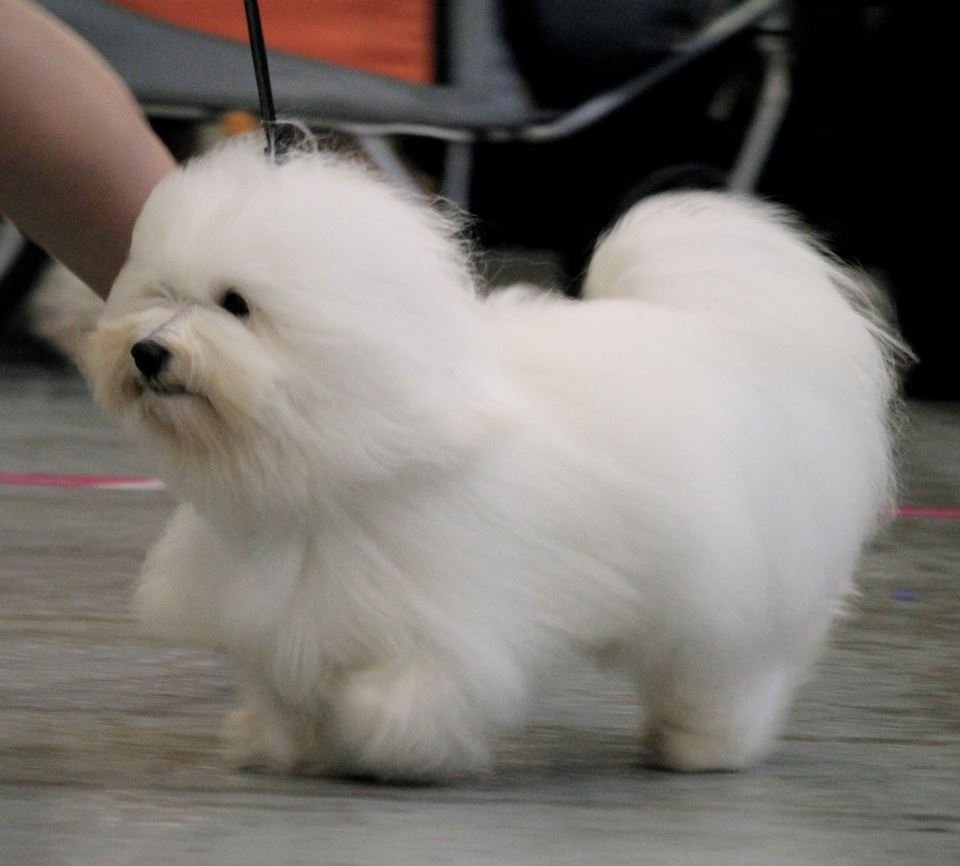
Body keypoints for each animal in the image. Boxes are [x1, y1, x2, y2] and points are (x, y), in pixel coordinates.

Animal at [85, 137, 904, 781]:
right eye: (160, 294)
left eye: (235, 304)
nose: (148, 351)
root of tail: (728, 331)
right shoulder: (283, 611)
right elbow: (284, 685)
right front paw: (279, 742)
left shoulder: (445, 617)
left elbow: (411, 690)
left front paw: (382, 737)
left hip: (723, 587)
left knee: (731, 671)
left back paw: (702, 746)